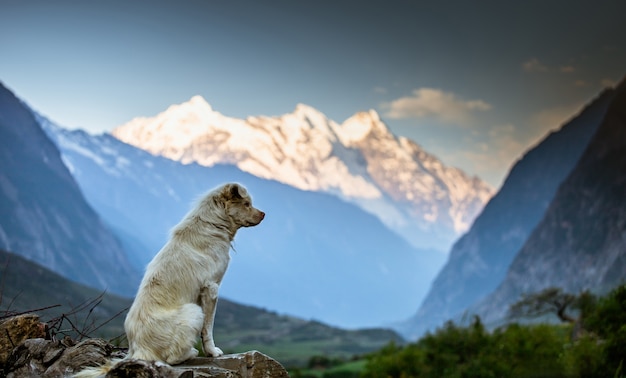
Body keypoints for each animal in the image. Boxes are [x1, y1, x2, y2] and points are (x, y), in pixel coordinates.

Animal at [75, 183, 264, 376]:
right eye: (247, 204)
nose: (264, 214)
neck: (214, 224)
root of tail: (137, 349)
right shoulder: (211, 288)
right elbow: (208, 328)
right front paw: (212, 352)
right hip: (194, 311)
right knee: (172, 358)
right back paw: (191, 352)